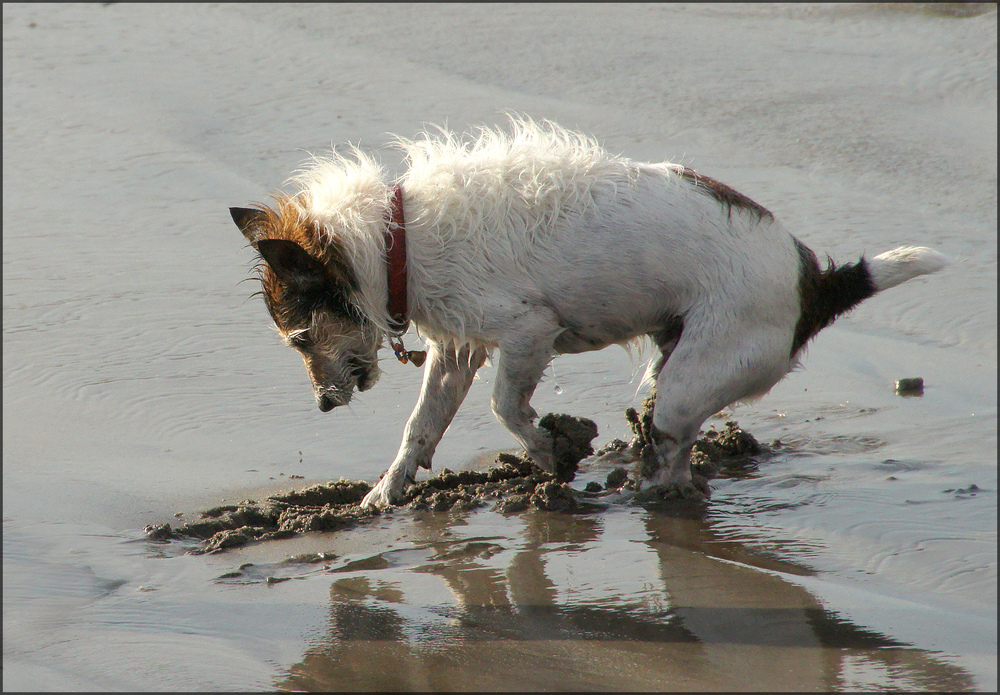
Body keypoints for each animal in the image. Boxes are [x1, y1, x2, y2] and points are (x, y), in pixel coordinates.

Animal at [230, 117, 948, 508]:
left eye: (301, 337)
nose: (323, 405)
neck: (393, 241)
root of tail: (813, 283)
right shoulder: (456, 351)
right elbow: (420, 428)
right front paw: (386, 492)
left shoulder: (527, 332)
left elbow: (506, 406)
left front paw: (550, 450)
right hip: (673, 361)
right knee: (666, 439)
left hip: (693, 378)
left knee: (675, 446)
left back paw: (645, 491)